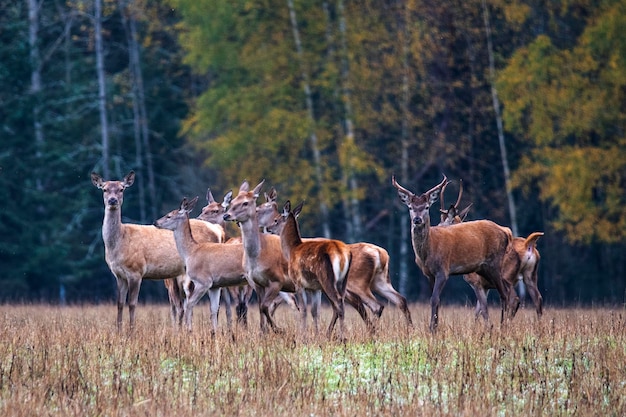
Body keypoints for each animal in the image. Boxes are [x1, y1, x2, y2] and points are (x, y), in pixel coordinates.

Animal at [89, 171, 223, 330]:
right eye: (104, 189)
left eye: (122, 189)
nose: (112, 200)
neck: (119, 243)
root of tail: (217, 230)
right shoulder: (119, 275)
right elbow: (120, 304)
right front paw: (119, 330)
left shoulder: (136, 271)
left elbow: (132, 304)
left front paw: (131, 331)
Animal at [153, 197, 246, 334]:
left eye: (169, 215)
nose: (155, 222)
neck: (191, 252)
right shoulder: (215, 286)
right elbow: (214, 309)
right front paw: (214, 333)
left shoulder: (203, 281)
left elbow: (189, 305)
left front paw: (189, 330)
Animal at [390, 175, 516, 332]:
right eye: (410, 207)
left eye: (427, 207)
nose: (417, 219)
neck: (427, 252)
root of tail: (506, 232)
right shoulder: (428, 274)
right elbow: (436, 300)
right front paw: (435, 328)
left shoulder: (443, 270)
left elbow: (434, 299)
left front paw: (431, 330)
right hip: (482, 270)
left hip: (494, 263)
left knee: (504, 294)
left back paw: (503, 328)